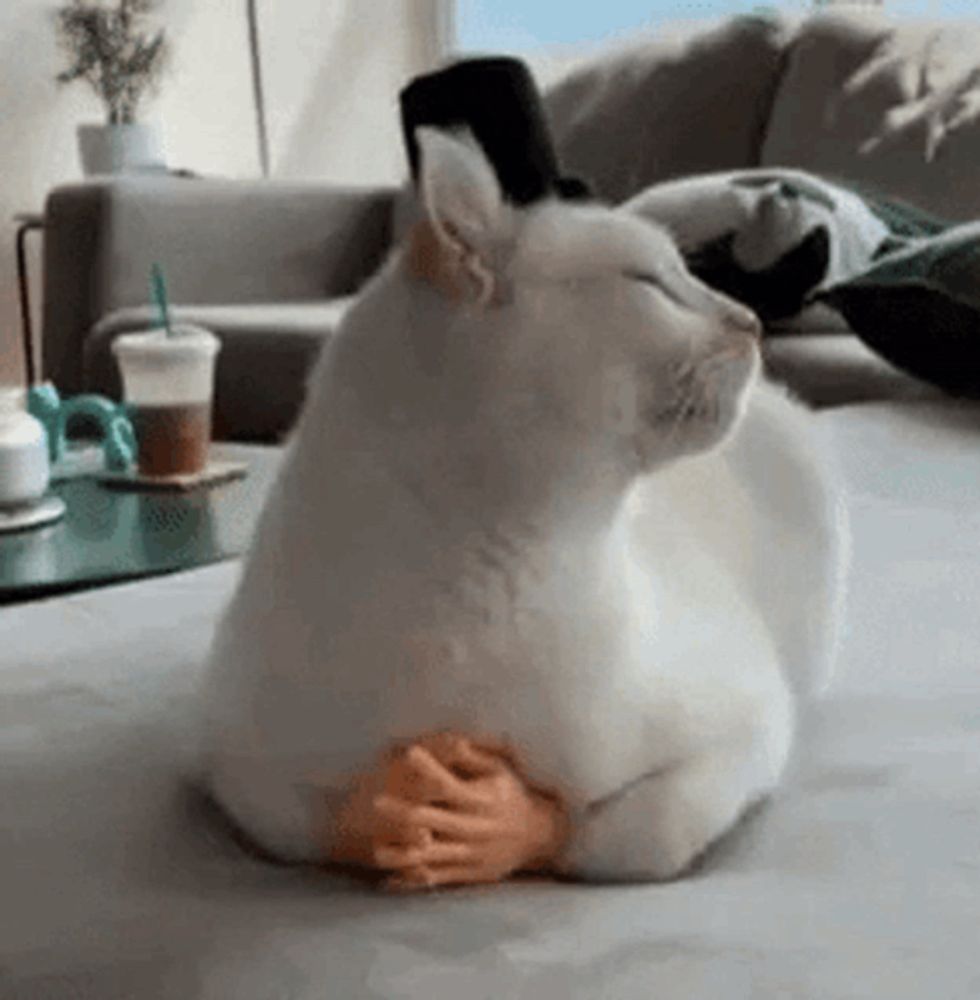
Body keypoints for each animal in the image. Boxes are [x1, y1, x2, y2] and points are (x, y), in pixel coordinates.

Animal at [201, 127, 848, 884]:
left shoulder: (750, 718)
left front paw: (502, 825)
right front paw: (398, 811)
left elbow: (628, 834)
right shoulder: (234, 755)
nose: (751, 323)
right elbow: (311, 824)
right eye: (652, 284)